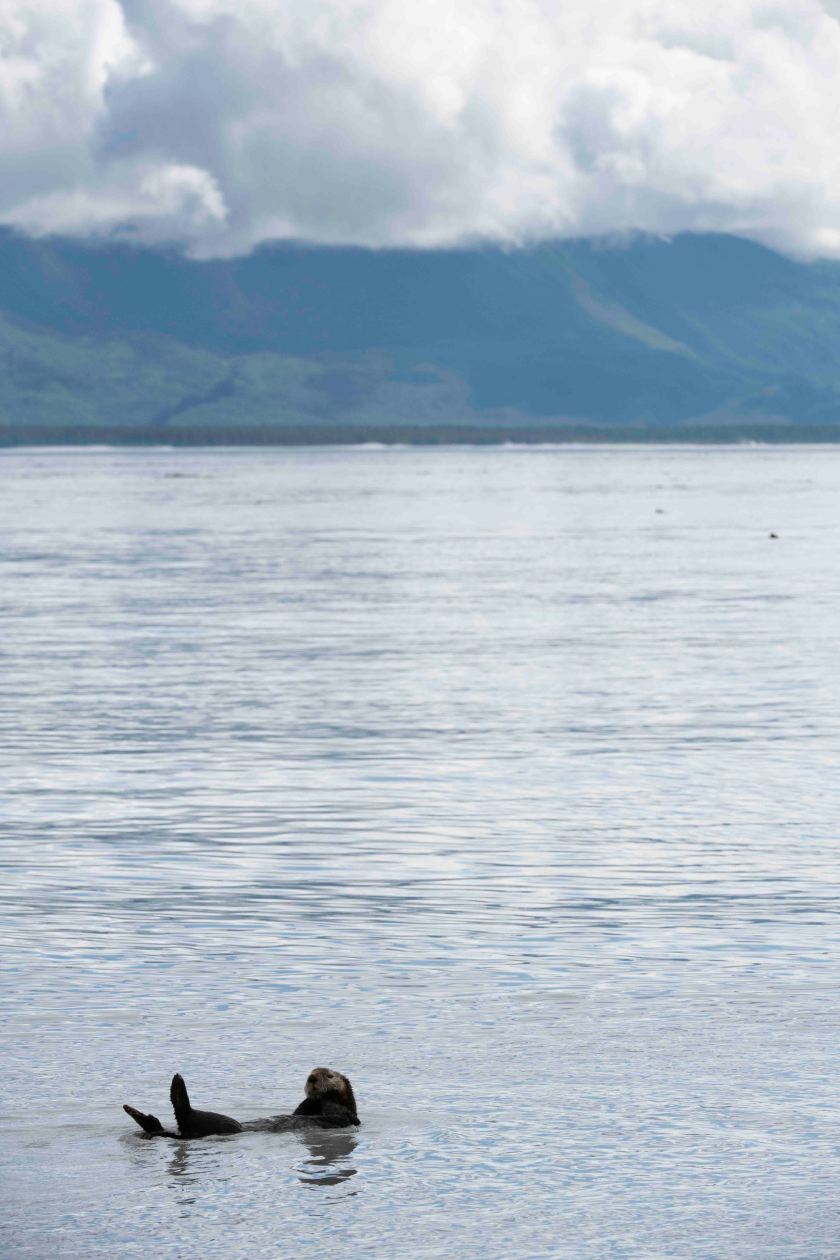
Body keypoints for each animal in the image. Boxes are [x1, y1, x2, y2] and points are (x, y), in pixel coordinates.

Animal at [123, 1067, 359, 1138]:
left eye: (329, 1075)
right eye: (311, 1072)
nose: (312, 1078)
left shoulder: (345, 1115)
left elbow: (340, 1112)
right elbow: (301, 1109)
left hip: (224, 1125)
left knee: (185, 1114)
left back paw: (177, 1088)